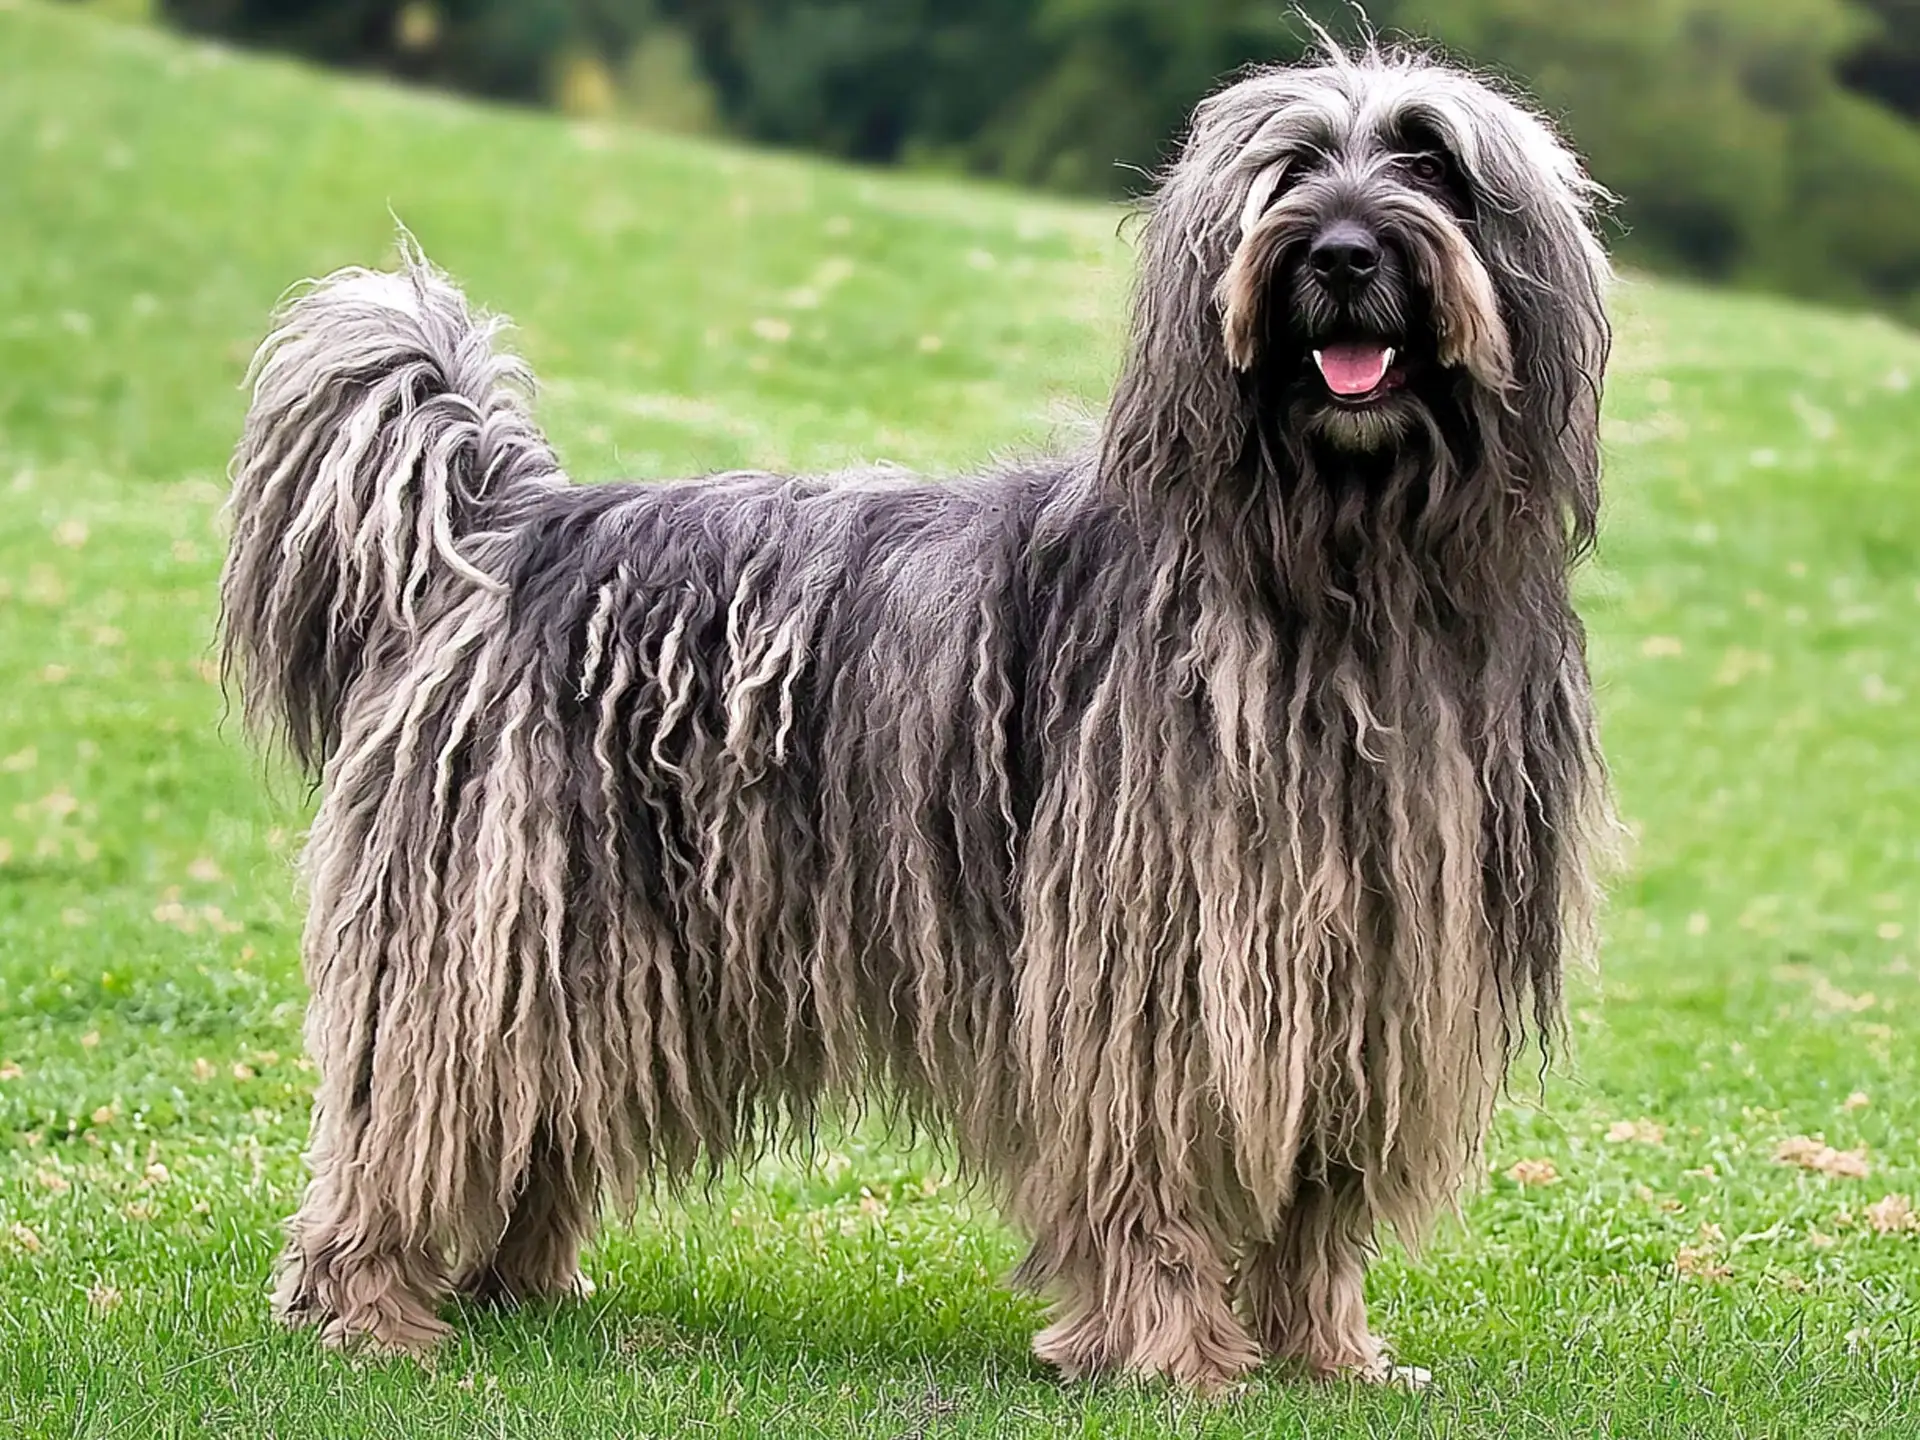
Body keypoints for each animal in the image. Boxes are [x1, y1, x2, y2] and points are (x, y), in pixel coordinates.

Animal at [217, 33, 1612, 1390]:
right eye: (1293, 170)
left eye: (1432, 163)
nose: (1341, 251)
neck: (1343, 571)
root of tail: (505, 526)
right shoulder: (1150, 983)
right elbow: (1151, 1184)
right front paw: (1176, 1359)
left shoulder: (1375, 988)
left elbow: (1320, 1206)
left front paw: (1327, 1357)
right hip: (475, 941)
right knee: (407, 1123)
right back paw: (370, 1313)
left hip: (578, 951)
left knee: (533, 1119)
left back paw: (519, 1287)